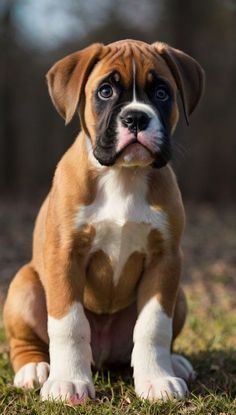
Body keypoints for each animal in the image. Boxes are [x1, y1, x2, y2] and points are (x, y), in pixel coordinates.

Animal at [2, 39, 204, 404]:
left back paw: (176, 363)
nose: (136, 117)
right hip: (24, 285)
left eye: (162, 92)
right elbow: (68, 324)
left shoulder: (166, 259)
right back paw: (35, 368)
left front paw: (157, 379)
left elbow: (154, 326)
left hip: (179, 293)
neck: (123, 176)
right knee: (25, 342)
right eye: (105, 91)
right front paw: (68, 382)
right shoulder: (65, 255)